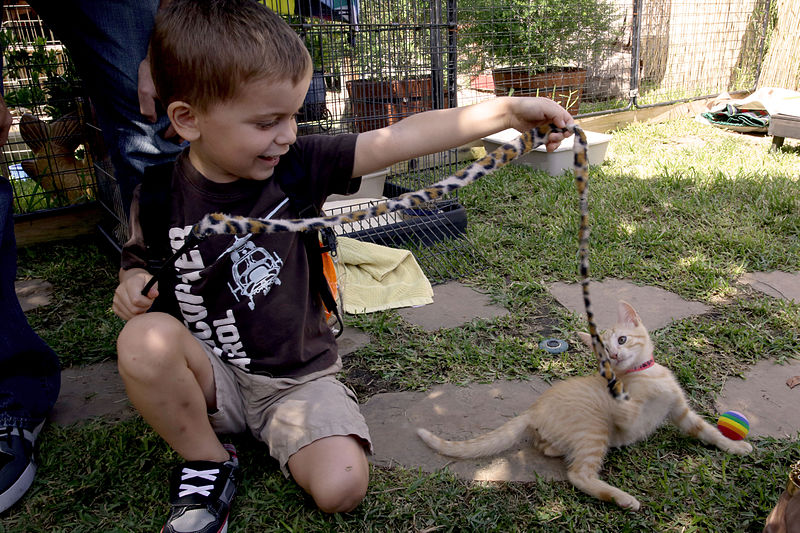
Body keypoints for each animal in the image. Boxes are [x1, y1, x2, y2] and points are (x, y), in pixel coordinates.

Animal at [416, 302, 752, 510]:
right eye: (603, 353)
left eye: (622, 339)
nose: (613, 357)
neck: (646, 374)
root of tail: (533, 409)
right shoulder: (629, 415)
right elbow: (624, 406)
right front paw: (613, 386)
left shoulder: (680, 411)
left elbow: (708, 431)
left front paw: (734, 446)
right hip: (594, 430)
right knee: (578, 475)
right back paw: (621, 498)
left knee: (548, 447)